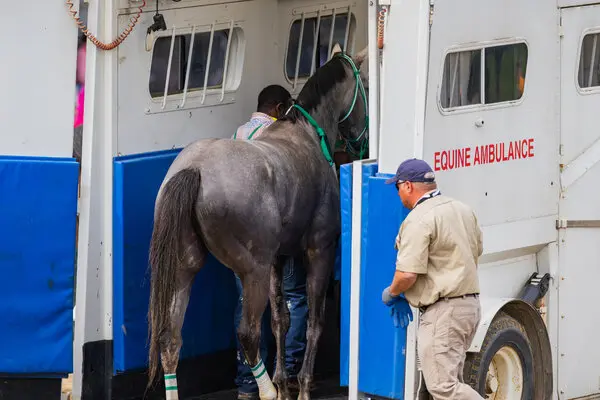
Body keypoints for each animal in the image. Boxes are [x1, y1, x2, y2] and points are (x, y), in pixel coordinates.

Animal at [147, 43, 368, 400]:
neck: (306, 134)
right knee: (248, 335)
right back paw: (267, 391)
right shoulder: (319, 250)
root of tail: (193, 169)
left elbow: (281, 319)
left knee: (169, 338)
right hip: (253, 271)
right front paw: (300, 386)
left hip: (184, 266)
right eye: (366, 88)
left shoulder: (279, 258)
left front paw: (284, 381)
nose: (363, 141)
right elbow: (313, 322)